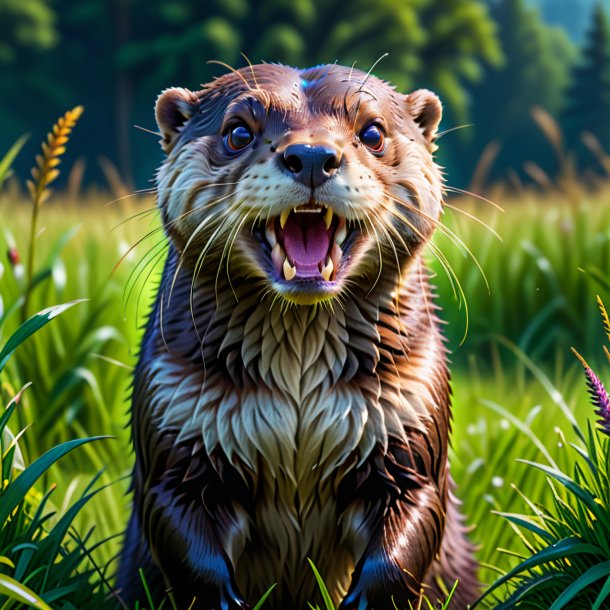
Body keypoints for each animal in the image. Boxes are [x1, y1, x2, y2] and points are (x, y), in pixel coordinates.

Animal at [116, 63, 478, 608]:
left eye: (373, 132)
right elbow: (182, 535)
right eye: (238, 132)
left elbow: (409, 528)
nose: (310, 156)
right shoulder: (175, 426)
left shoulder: (411, 423)